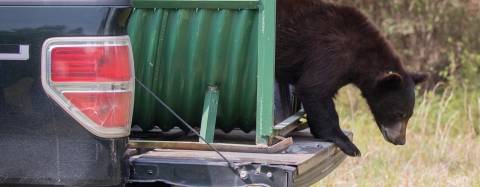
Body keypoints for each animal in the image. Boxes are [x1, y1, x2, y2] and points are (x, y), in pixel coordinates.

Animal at [276, 0, 430, 156]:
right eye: (399, 114)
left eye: (410, 115)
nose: (400, 140)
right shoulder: (330, 54)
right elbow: (313, 89)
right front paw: (348, 144)